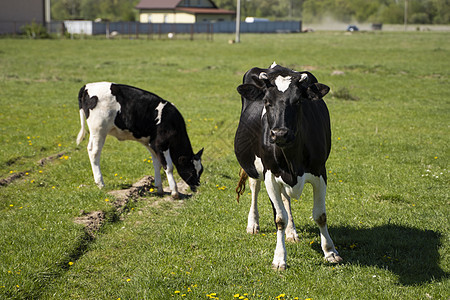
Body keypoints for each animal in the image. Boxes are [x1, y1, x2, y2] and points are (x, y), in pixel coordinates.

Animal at [234, 63, 342, 270]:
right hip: (255, 168)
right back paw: (253, 224)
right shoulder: (270, 175)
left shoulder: (320, 172)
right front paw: (279, 258)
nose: (280, 133)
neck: (293, 161)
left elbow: (320, 215)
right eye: (267, 102)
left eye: (298, 101)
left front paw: (330, 252)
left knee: (286, 200)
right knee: (255, 188)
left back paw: (292, 232)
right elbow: (279, 219)